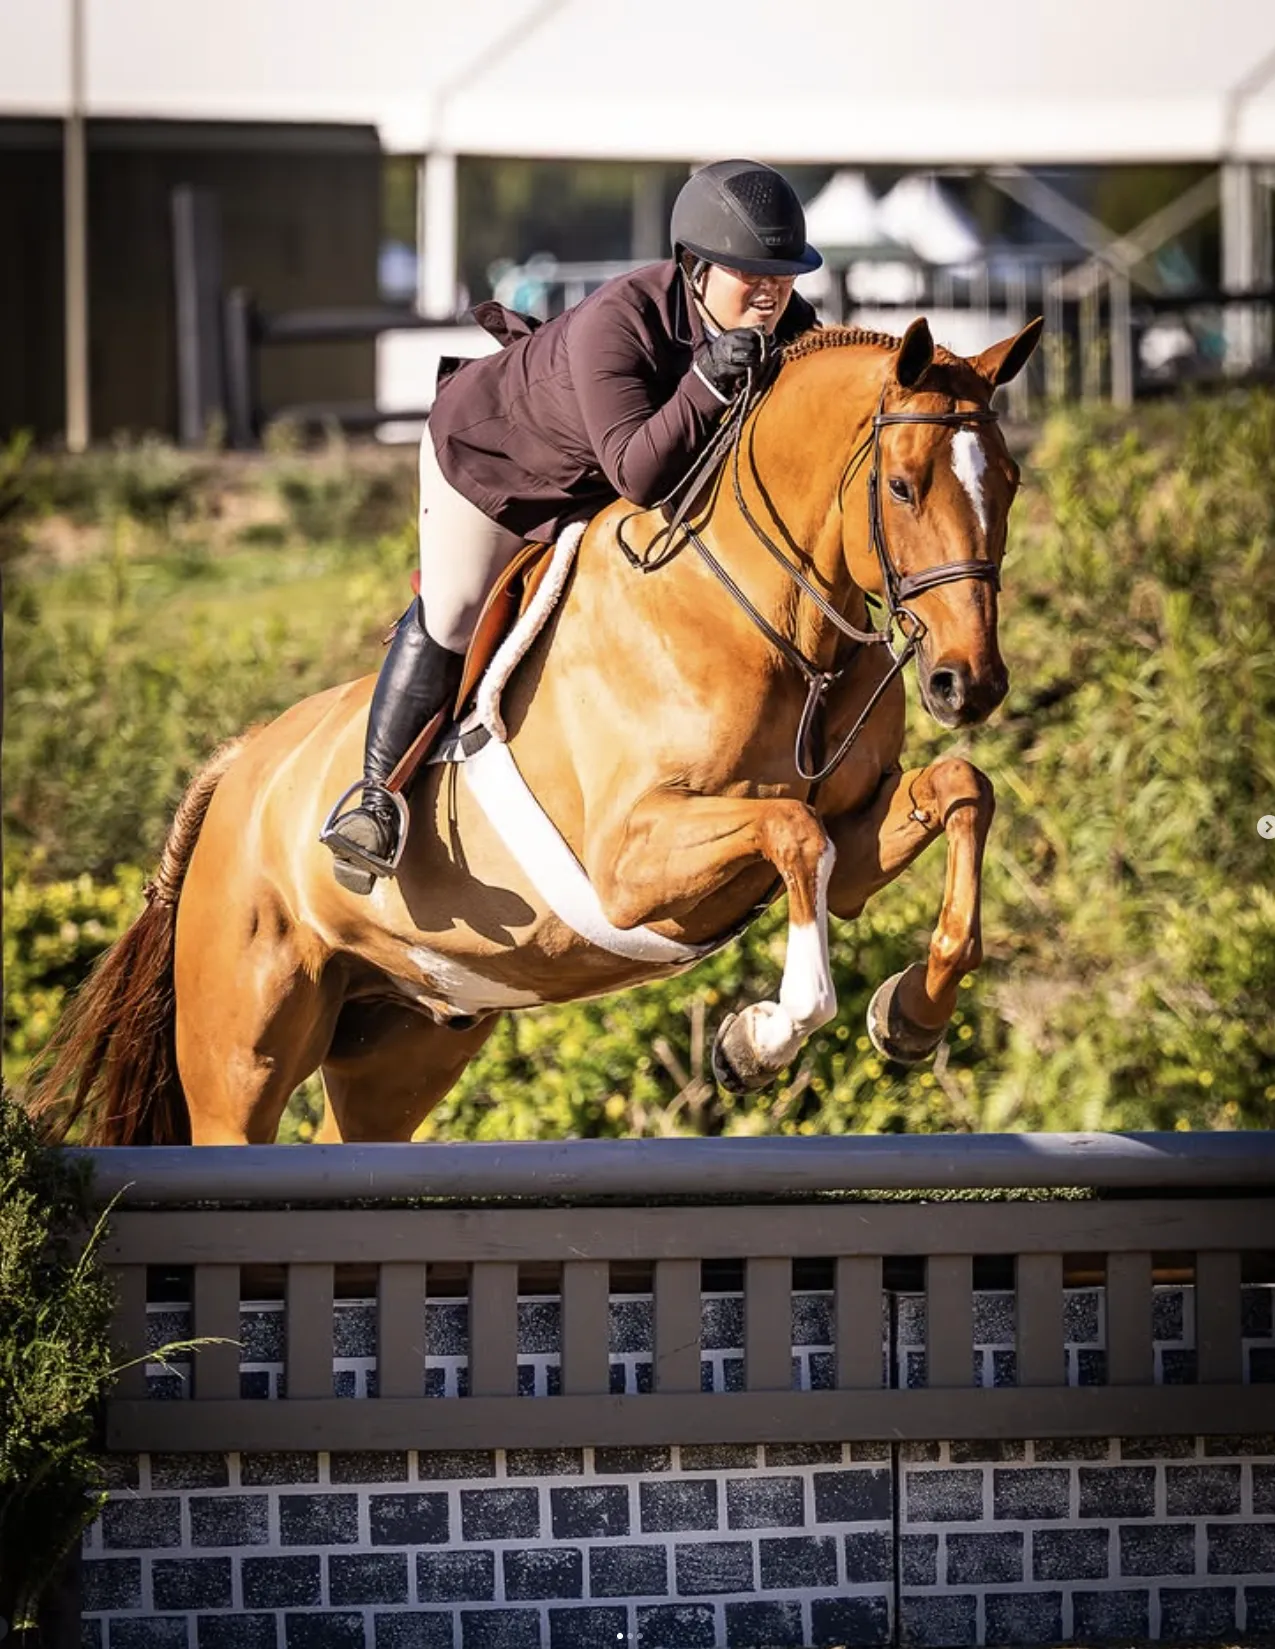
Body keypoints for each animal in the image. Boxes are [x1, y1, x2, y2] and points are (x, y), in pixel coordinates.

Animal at [30, 315, 1042, 1146]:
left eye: (1010, 483)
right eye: (902, 487)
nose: (967, 683)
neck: (777, 627)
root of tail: (240, 768)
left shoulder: (851, 842)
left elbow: (956, 791)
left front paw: (910, 1014)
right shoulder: (629, 863)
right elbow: (791, 831)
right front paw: (757, 1039)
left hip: (401, 1044)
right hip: (241, 1053)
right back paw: (364, 826)